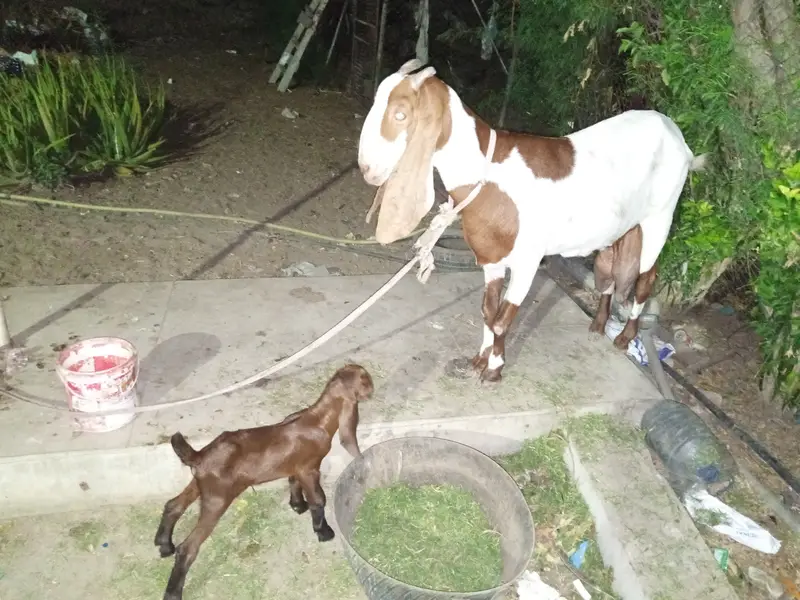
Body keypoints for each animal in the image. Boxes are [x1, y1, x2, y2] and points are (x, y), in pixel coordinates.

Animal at [153, 364, 373, 600]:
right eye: (365, 381)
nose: (373, 389)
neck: (316, 418)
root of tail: (199, 456)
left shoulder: (295, 467)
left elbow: (293, 482)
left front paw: (297, 505)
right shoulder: (309, 468)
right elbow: (318, 500)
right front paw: (323, 532)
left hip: (200, 484)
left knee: (173, 505)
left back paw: (164, 545)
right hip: (217, 497)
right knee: (188, 547)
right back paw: (173, 592)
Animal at [357, 58, 706, 382]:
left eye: (401, 115)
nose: (366, 168)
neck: (485, 170)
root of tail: (676, 135)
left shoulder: (528, 260)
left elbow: (502, 319)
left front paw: (494, 370)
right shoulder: (492, 259)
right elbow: (488, 312)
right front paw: (480, 360)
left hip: (660, 215)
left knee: (647, 278)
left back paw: (624, 338)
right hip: (620, 226)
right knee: (608, 269)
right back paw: (598, 323)